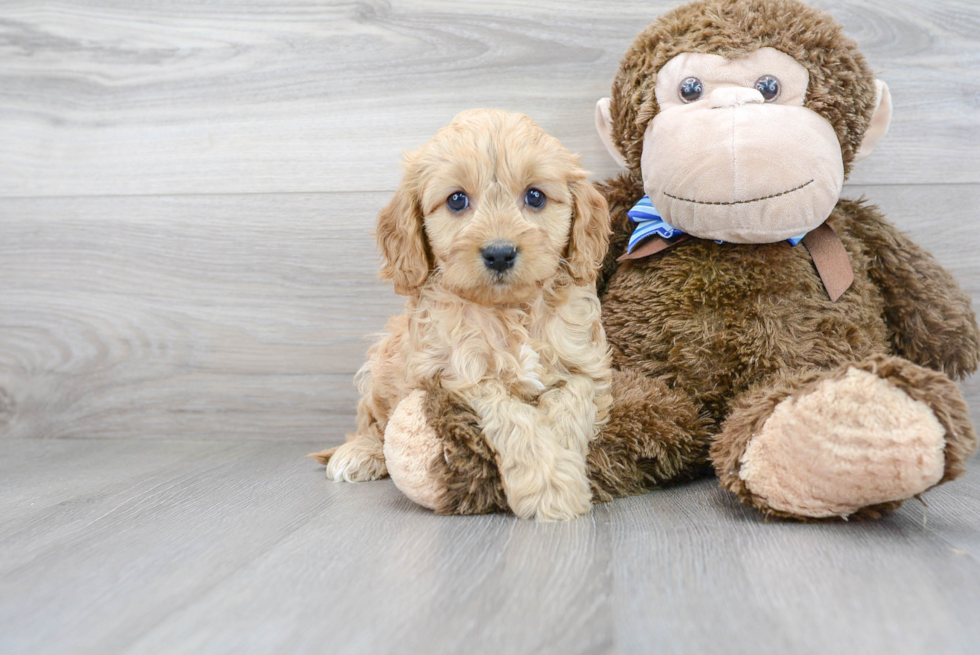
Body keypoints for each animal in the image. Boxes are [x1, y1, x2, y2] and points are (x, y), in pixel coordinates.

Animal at [318, 109, 612, 524]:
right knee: (373, 421)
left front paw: (563, 467)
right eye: (457, 200)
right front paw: (548, 484)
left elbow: (569, 405)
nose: (500, 253)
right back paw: (360, 452)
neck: (510, 311)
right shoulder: (460, 376)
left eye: (535, 196)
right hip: (382, 362)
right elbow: (513, 415)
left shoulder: (585, 368)